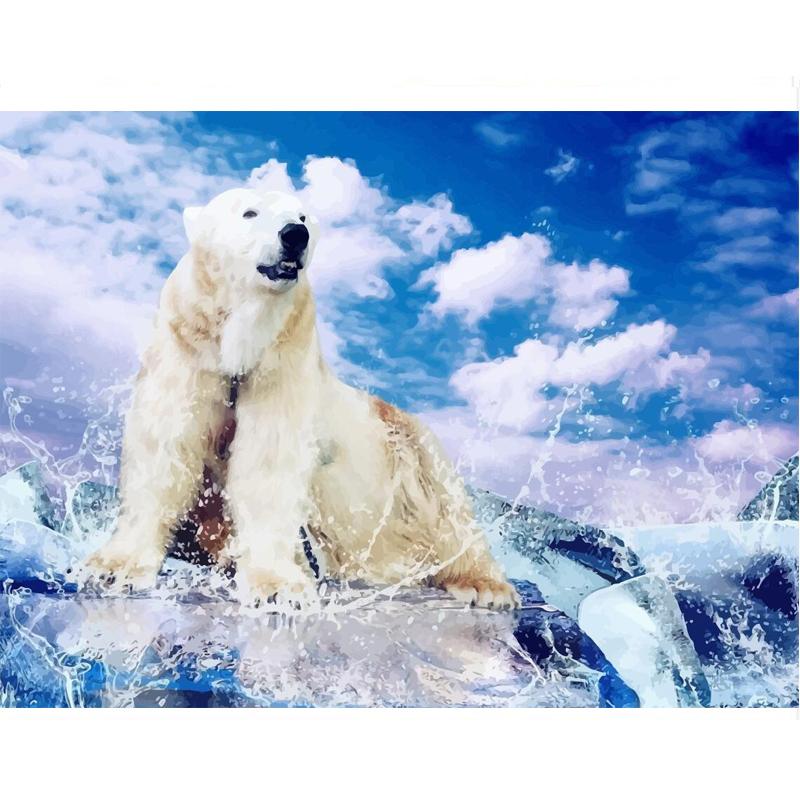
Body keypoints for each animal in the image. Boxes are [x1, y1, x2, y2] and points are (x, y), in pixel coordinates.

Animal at [81, 187, 519, 610]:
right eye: (249, 212)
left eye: (303, 215)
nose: (295, 235)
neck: (243, 340)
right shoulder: (189, 344)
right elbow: (165, 444)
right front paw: (110, 568)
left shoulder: (284, 359)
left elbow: (270, 458)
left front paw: (277, 588)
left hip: (410, 445)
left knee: (449, 509)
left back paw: (485, 586)